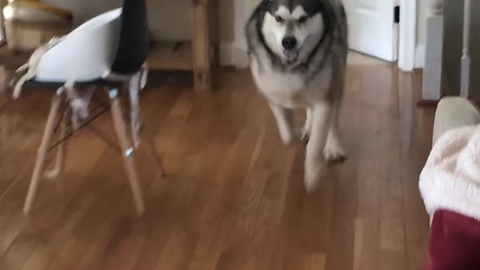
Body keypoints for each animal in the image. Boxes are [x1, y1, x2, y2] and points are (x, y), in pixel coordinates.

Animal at [246, 0, 346, 191]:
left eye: (303, 18)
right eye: (279, 18)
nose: (288, 42)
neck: (290, 68)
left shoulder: (324, 99)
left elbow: (316, 142)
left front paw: (313, 173)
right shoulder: (270, 90)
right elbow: (285, 128)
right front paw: (291, 134)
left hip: (337, 77)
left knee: (333, 118)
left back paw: (333, 145)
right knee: (308, 108)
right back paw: (307, 127)